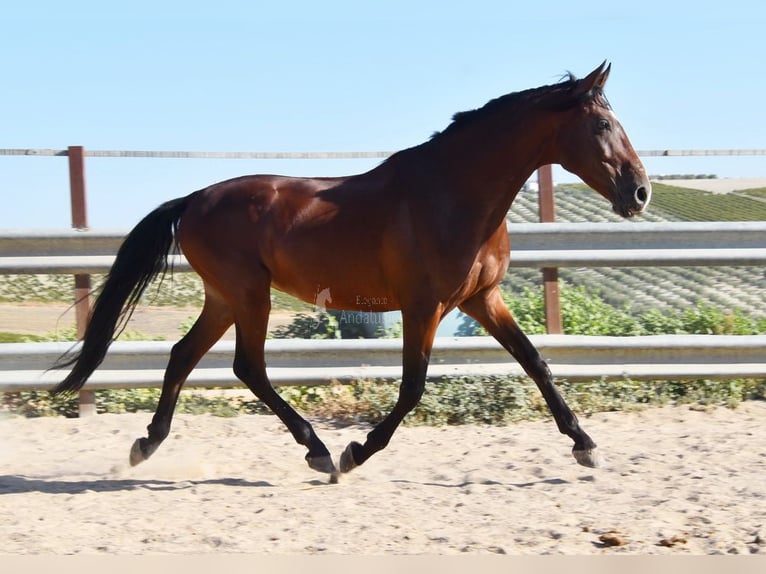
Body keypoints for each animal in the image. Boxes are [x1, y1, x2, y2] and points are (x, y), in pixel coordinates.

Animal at [52, 62, 656, 482]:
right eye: (602, 123)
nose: (640, 192)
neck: (453, 194)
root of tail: (193, 199)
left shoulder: (482, 298)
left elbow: (536, 362)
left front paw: (585, 445)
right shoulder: (423, 306)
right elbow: (413, 387)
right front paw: (356, 451)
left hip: (225, 297)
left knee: (183, 356)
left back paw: (146, 445)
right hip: (249, 294)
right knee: (249, 368)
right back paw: (319, 452)